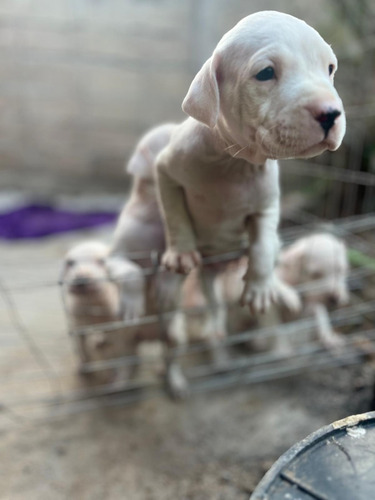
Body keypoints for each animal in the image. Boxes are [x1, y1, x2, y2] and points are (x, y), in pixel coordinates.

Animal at [156, 9, 346, 350]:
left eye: (329, 68)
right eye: (266, 72)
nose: (330, 113)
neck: (233, 163)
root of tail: (224, 265)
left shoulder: (266, 207)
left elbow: (261, 248)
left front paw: (259, 290)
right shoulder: (166, 169)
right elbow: (175, 214)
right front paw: (181, 252)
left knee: (271, 259)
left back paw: (279, 292)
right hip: (205, 276)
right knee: (209, 300)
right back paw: (210, 326)